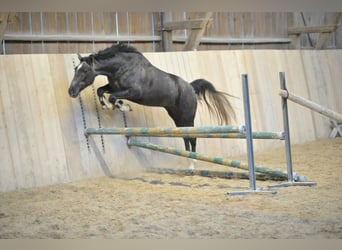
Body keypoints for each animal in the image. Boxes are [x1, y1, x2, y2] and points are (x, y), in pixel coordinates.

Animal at [68, 44, 236, 155]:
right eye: (75, 69)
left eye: (85, 70)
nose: (71, 91)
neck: (123, 67)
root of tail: (190, 87)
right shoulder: (114, 86)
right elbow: (101, 90)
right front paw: (107, 106)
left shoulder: (134, 92)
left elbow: (113, 96)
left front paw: (122, 106)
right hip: (177, 117)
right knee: (185, 136)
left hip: (187, 116)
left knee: (192, 137)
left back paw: (193, 163)